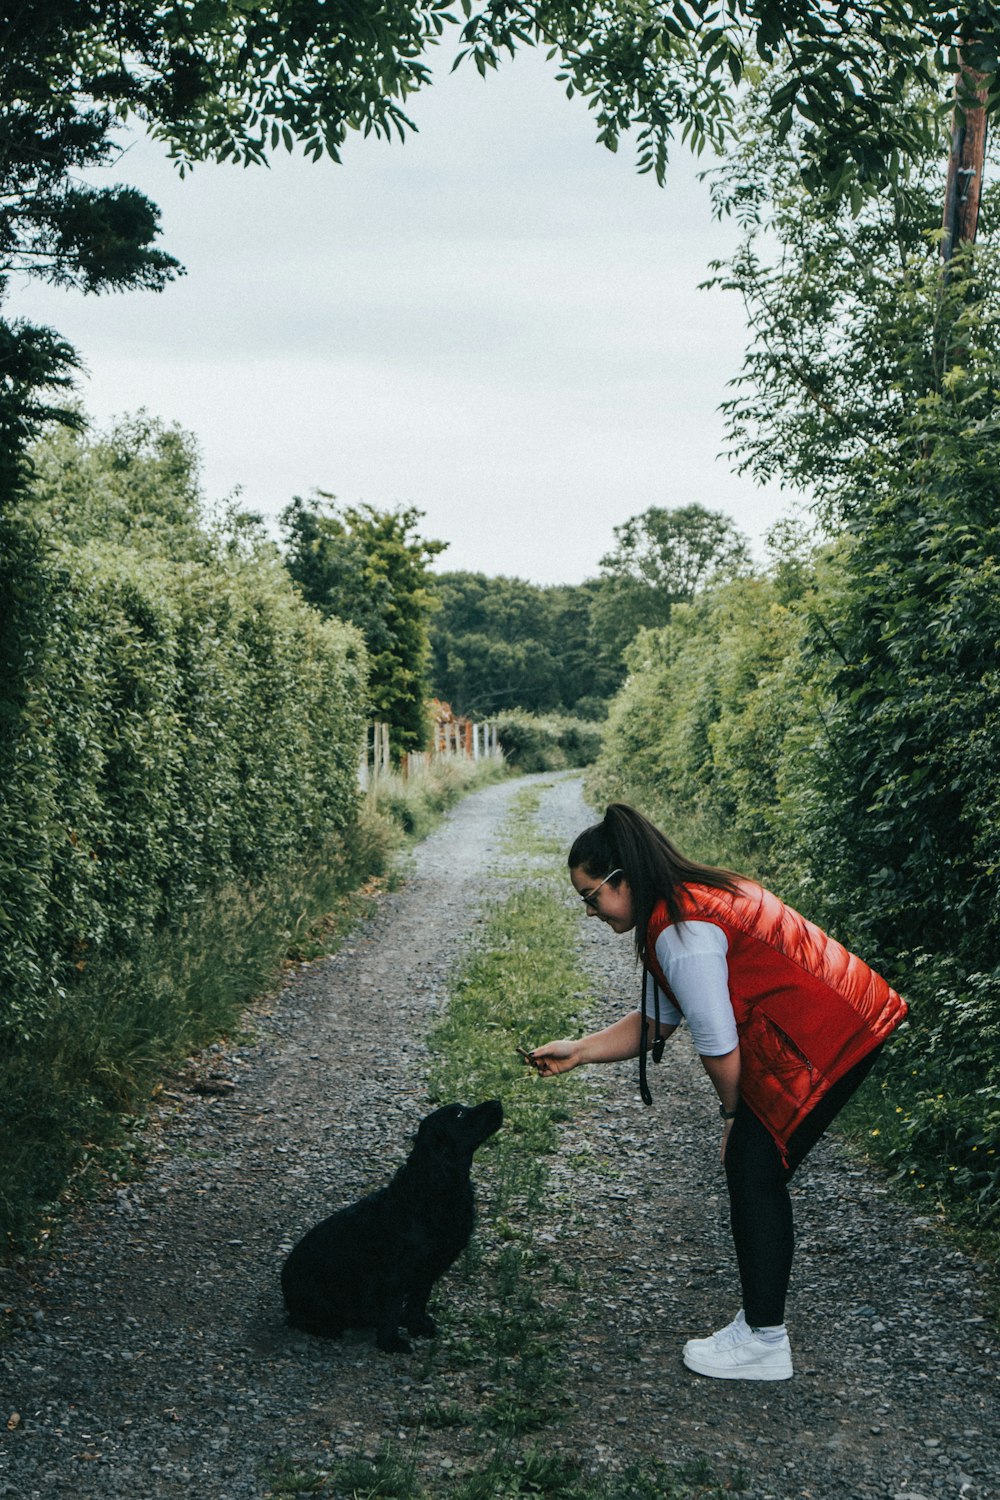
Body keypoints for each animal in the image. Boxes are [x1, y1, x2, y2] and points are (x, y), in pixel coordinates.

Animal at [280, 1098, 500, 1356]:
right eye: (458, 1114)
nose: (497, 1102)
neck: (431, 1191)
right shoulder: (395, 1275)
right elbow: (392, 1311)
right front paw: (391, 1343)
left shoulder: (428, 1269)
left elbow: (418, 1301)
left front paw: (417, 1325)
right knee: (301, 1319)